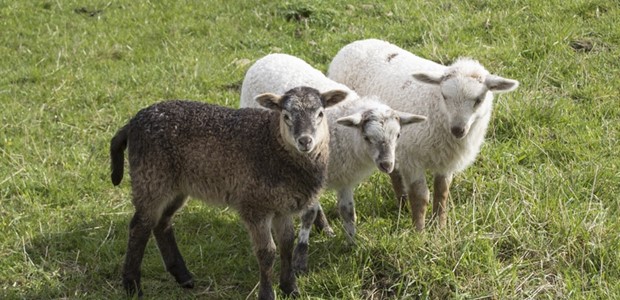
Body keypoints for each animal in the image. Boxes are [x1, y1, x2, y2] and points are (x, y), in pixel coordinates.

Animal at [239, 54, 426, 272]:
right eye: (367, 137)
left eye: (398, 135)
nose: (388, 165)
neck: (345, 134)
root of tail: (268, 56)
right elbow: (308, 214)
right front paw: (301, 257)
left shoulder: (345, 179)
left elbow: (348, 212)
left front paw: (352, 244)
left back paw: (326, 229)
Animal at [326, 39, 520, 232]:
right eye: (444, 96)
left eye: (479, 100)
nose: (457, 129)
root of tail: (357, 42)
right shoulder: (412, 159)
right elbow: (420, 196)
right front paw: (419, 231)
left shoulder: (445, 161)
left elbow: (442, 192)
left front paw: (440, 227)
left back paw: (403, 205)